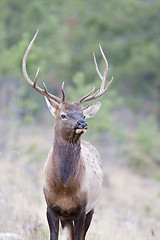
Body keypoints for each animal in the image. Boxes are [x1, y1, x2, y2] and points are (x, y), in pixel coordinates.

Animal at [21, 30, 113, 240]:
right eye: (63, 114)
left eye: (83, 114)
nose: (82, 123)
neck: (64, 187)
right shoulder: (50, 208)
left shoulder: (82, 208)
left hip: (92, 209)